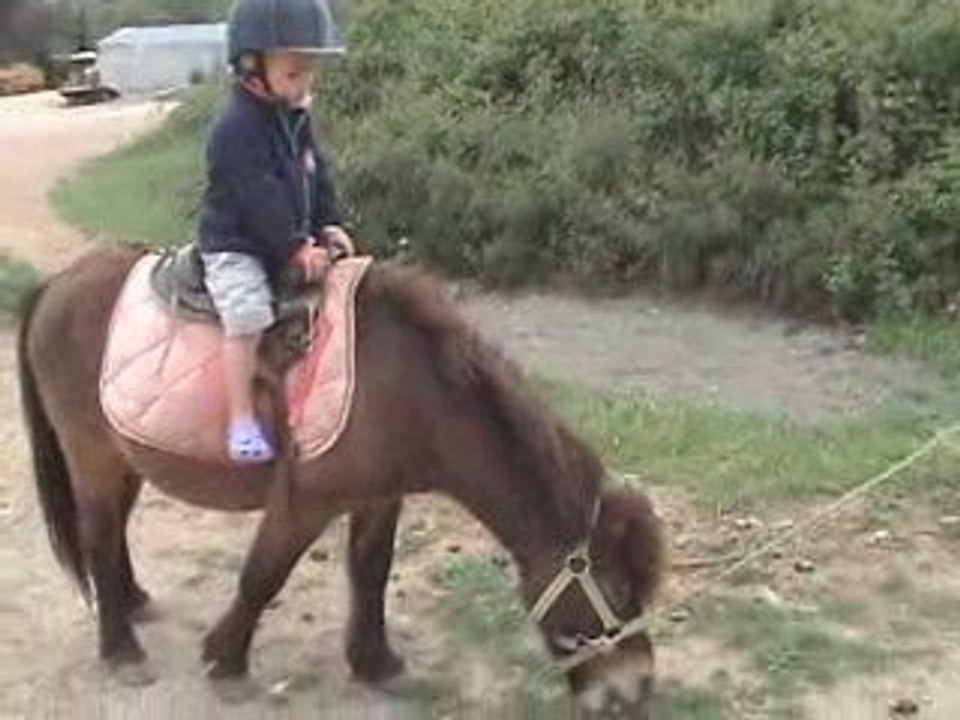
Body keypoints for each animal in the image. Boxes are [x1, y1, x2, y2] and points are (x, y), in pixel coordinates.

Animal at [17, 244, 665, 718]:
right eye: (619, 591)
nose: (634, 690)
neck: (410, 386)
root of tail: (58, 284)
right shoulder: (305, 502)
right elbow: (262, 577)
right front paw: (227, 662)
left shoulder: (379, 498)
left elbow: (371, 573)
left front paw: (375, 663)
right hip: (93, 458)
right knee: (98, 539)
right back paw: (121, 650)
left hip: (125, 460)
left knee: (112, 536)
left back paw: (132, 603)